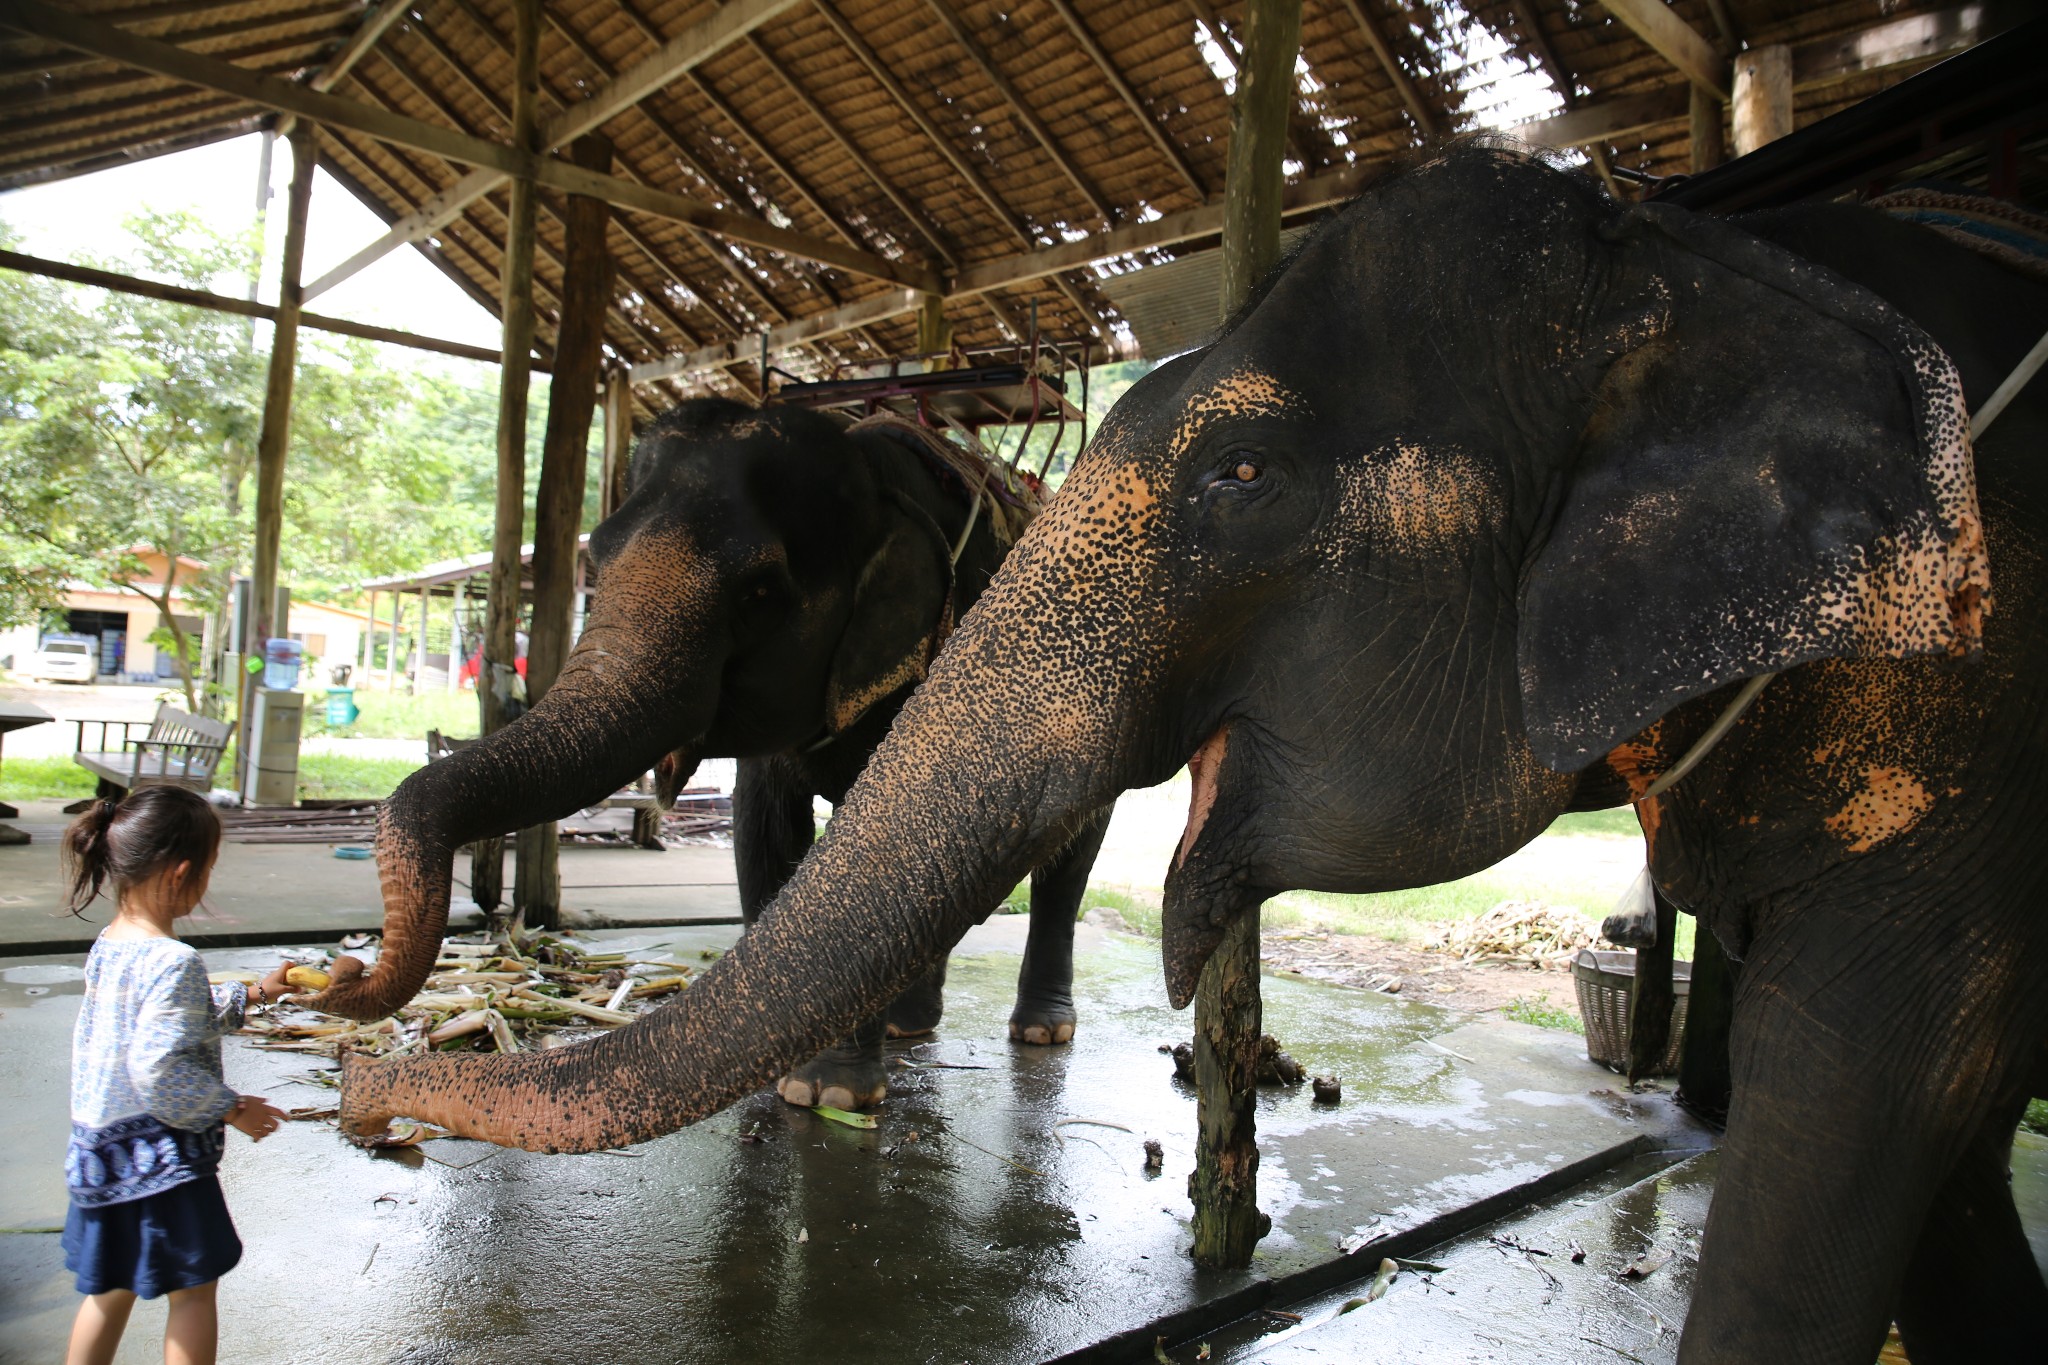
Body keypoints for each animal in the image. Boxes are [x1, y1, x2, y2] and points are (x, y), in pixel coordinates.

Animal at [321, 394, 1114, 1113]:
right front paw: (791, 1075)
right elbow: (766, 834)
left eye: (760, 591)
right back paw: (907, 1025)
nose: (343, 972)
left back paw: (1039, 1031)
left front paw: (829, 1093)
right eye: (596, 557)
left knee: (1068, 863)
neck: (869, 467)